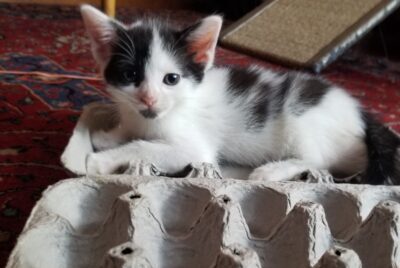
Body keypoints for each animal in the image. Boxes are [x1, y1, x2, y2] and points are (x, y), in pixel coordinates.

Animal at [73, 4, 398, 184]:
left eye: (171, 79)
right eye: (131, 76)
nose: (149, 99)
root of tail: (361, 113)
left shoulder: (193, 149)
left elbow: (143, 147)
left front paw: (101, 160)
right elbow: (132, 132)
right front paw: (110, 135)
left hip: (302, 118)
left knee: (317, 160)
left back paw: (269, 172)